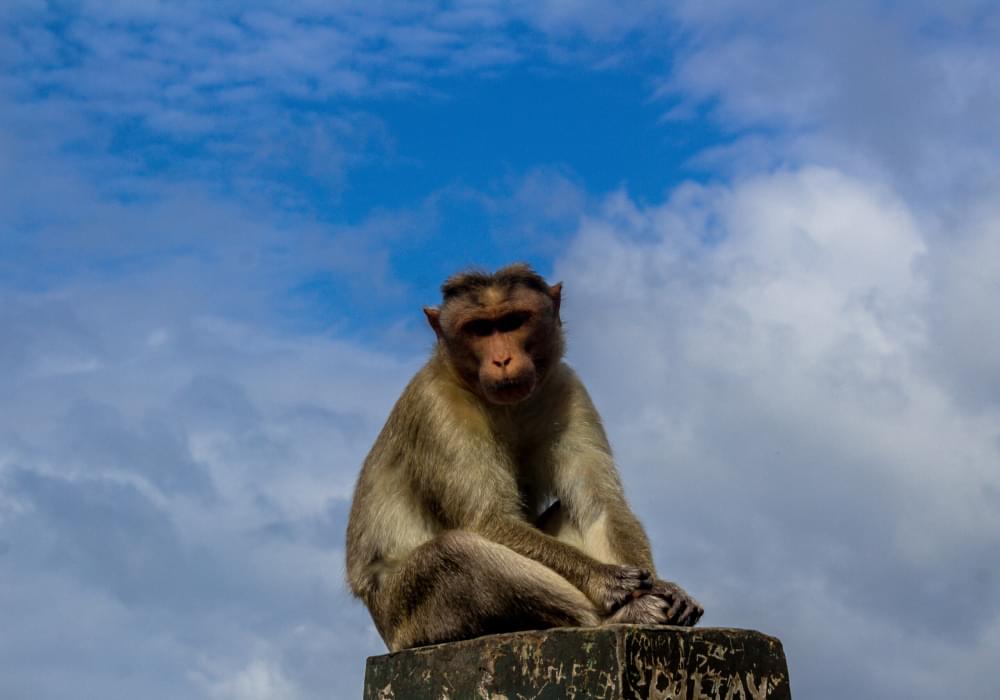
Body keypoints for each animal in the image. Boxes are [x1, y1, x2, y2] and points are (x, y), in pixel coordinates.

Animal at [345, 263, 702, 652]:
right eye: (479, 329)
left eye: (513, 321)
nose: (502, 360)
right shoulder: (437, 407)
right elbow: (489, 520)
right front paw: (606, 579)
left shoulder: (566, 388)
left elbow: (601, 505)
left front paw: (663, 585)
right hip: (408, 616)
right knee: (455, 553)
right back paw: (612, 617)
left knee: (575, 508)